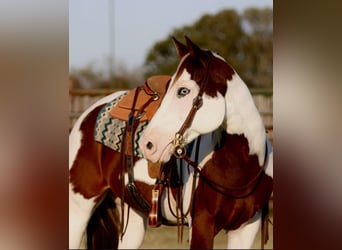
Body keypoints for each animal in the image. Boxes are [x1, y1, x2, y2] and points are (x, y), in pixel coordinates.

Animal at [69, 36, 272, 249]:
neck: (239, 167)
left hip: (133, 215)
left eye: (183, 91)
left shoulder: (247, 228)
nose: (147, 144)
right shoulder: (202, 225)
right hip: (78, 207)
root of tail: (87, 115)